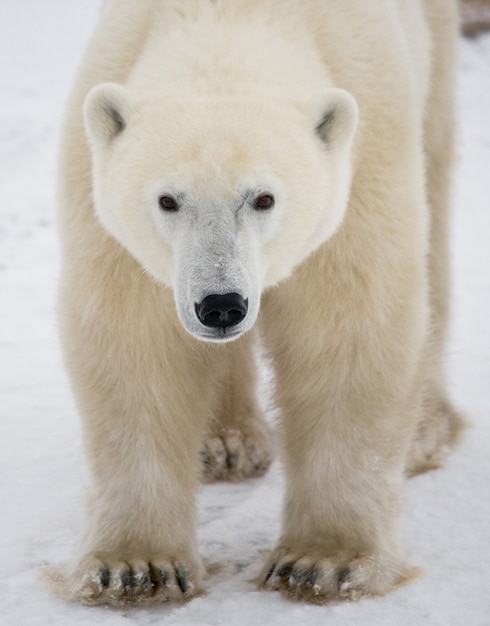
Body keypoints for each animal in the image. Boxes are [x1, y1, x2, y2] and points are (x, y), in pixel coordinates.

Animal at [49, 0, 464, 604]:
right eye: (168, 199)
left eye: (264, 198)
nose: (221, 304)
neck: (235, 18)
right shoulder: (108, 216)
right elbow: (136, 347)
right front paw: (137, 567)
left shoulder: (364, 165)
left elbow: (349, 331)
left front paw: (324, 562)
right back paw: (226, 443)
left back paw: (426, 430)